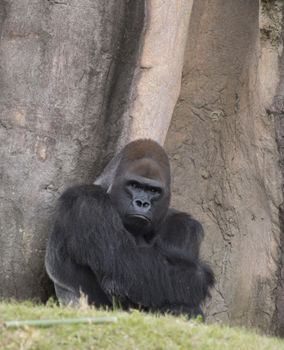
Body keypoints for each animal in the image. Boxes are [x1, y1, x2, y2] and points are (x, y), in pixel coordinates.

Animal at [45, 139, 213, 318]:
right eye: (134, 185)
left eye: (153, 190)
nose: (142, 203)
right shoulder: (87, 203)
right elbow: (125, 262)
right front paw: (200, 276)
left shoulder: (184, 225)